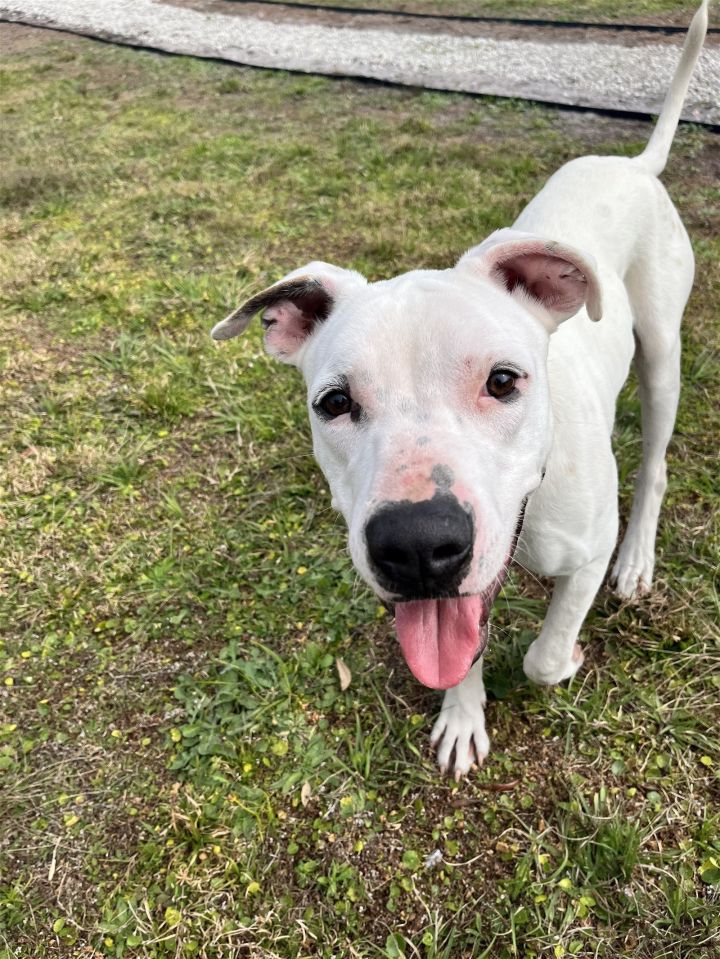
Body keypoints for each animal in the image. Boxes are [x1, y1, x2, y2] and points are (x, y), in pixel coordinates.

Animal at [212, 1, 708, 780]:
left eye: (503, 381)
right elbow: (462, 643)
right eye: (334, 403)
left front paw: (566, 656)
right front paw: (463, 714)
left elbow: (541, 658)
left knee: (654, 462)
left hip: (661, 351)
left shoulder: (584, 552)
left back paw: (637, 562)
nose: (417, 547)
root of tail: (634, 164)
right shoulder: (453, 596)